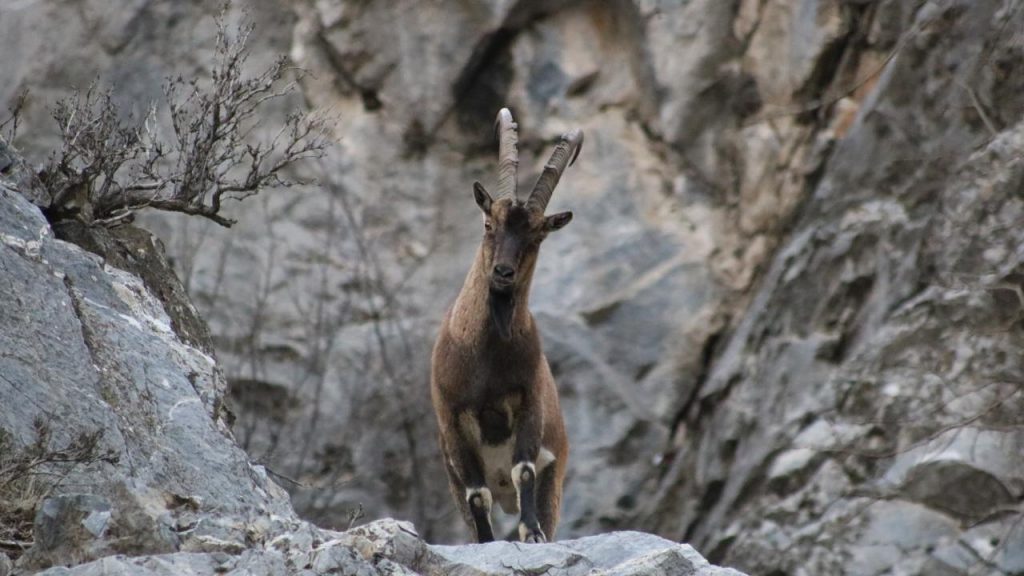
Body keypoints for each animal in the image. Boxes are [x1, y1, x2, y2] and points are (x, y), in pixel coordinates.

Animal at [428, 108, 581, 541]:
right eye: (488, 224)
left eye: (536, 236)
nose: (503, 273)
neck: (485, 360)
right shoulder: (453, 421)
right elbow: (477, 496)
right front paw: (485, 543)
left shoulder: (529, 403)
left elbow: (523, 470)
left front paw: (531, 534)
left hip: (556, 474)